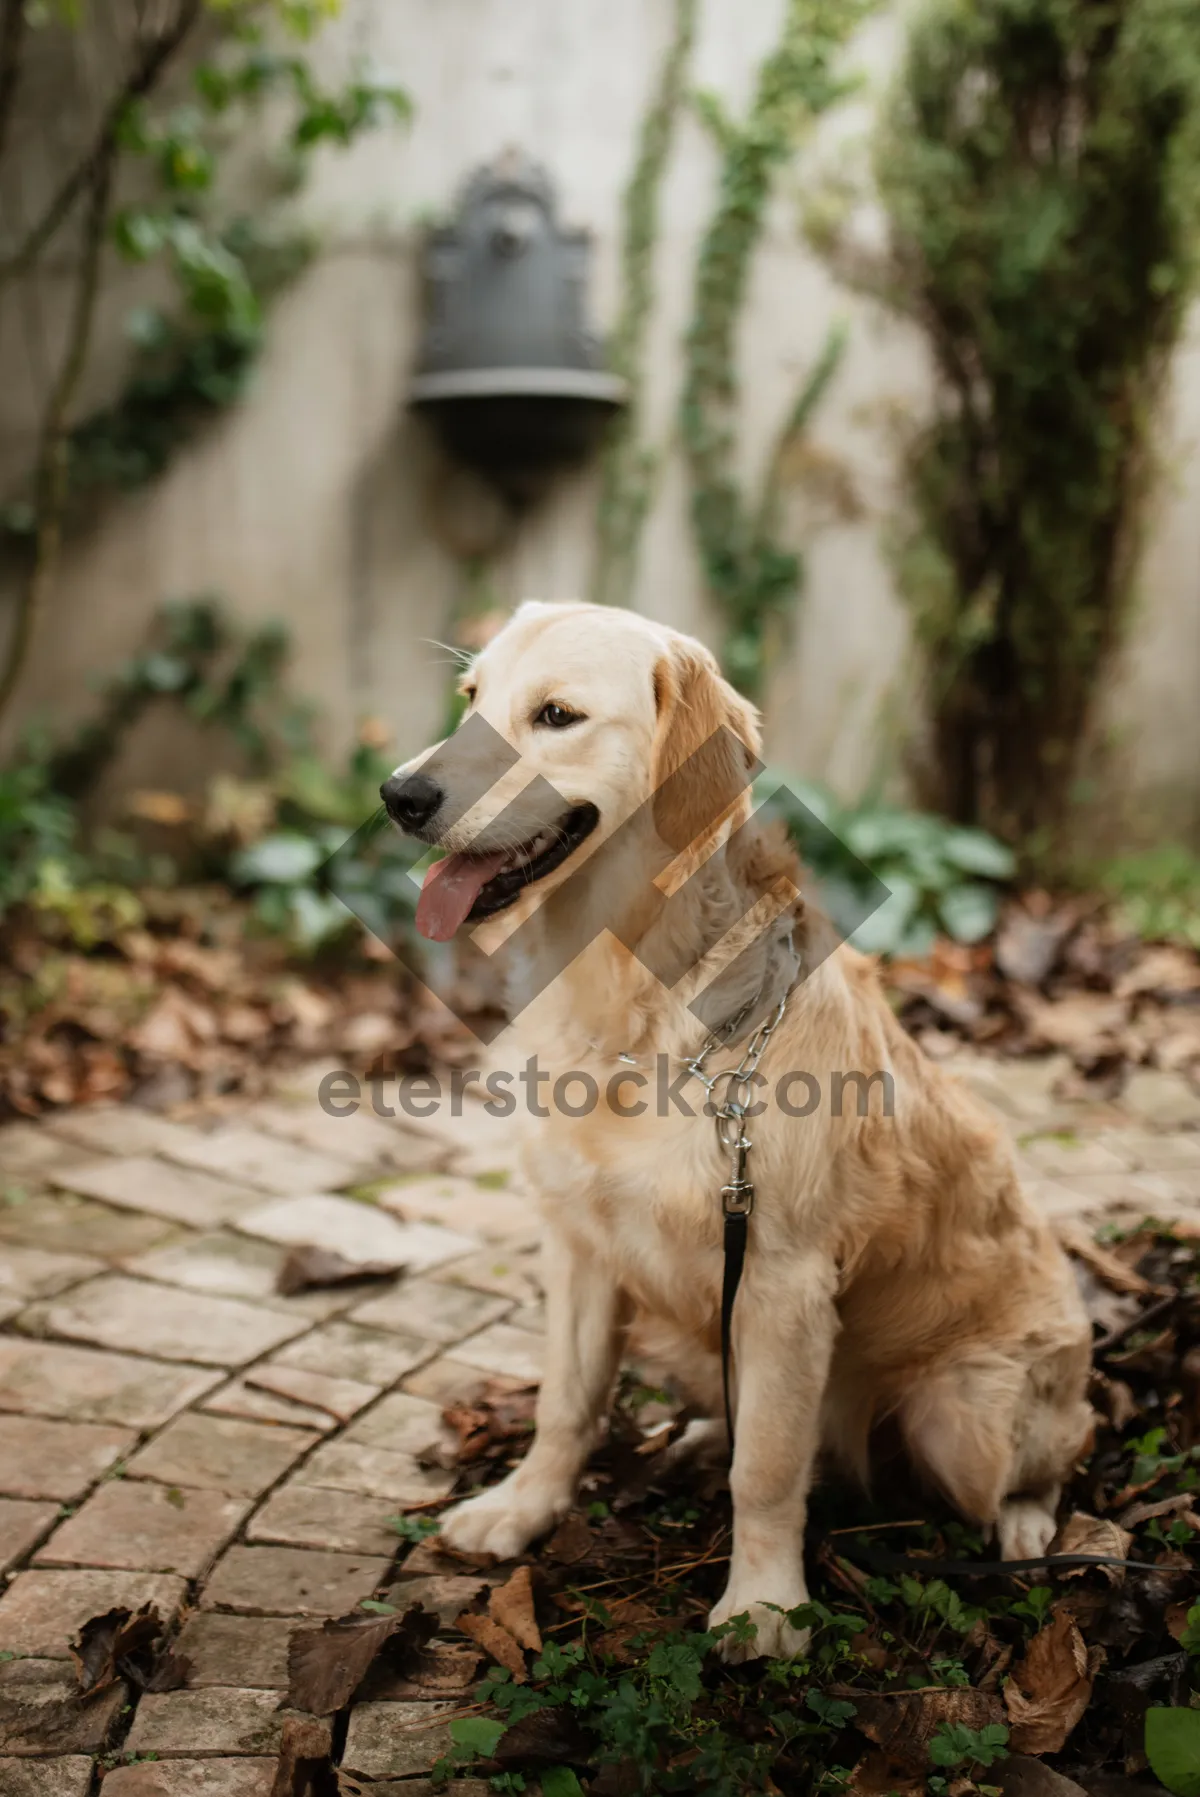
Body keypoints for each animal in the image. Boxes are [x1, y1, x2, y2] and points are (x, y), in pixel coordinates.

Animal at [382, 600, 1099, 1653]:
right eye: (472, 698)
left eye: (556, 715)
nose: (399, 794)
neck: (632, 994)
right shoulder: (580, 1243)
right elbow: (566, 1402)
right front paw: (523, 1507)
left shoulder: (780, 1280)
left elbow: (765, 1468)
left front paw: (762, 1605)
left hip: (966, 1414)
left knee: (1044, 1457)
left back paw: (1026, 1523)